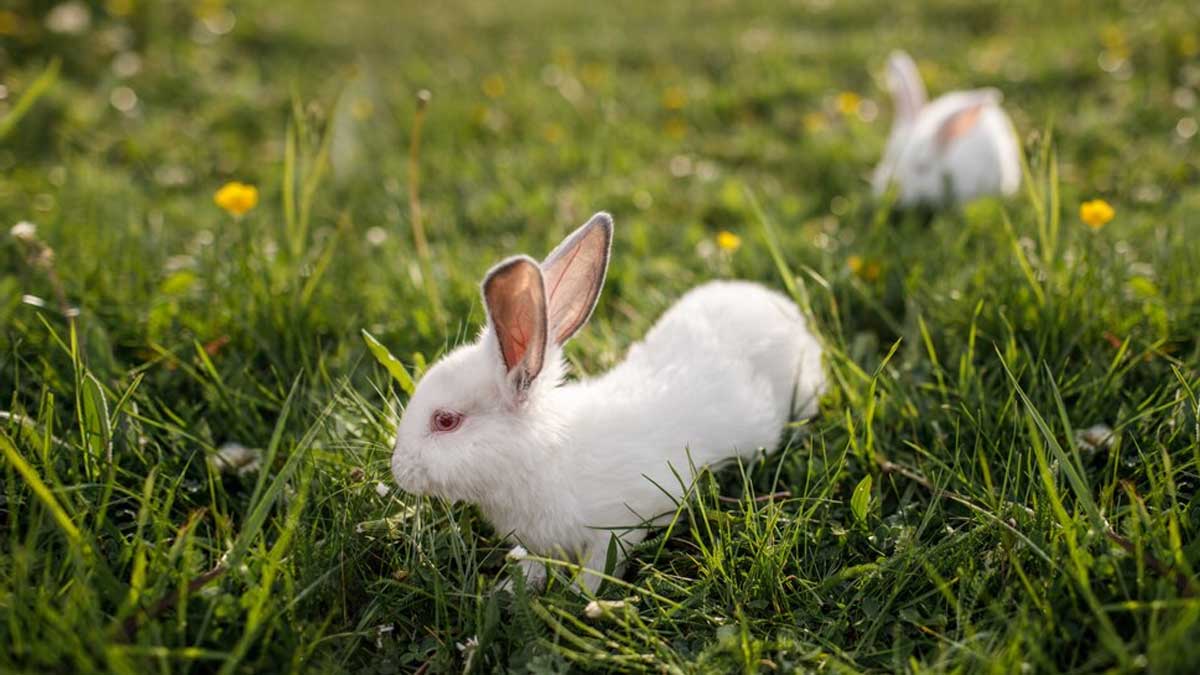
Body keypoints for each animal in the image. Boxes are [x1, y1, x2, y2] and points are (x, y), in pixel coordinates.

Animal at [390, 212, 825, 592]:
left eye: (446, 420)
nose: (398, 469)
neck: (543, 453)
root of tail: (784, 310)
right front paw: (513, 588)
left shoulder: (620, 524)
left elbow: (601, 563)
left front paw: (582, 596)